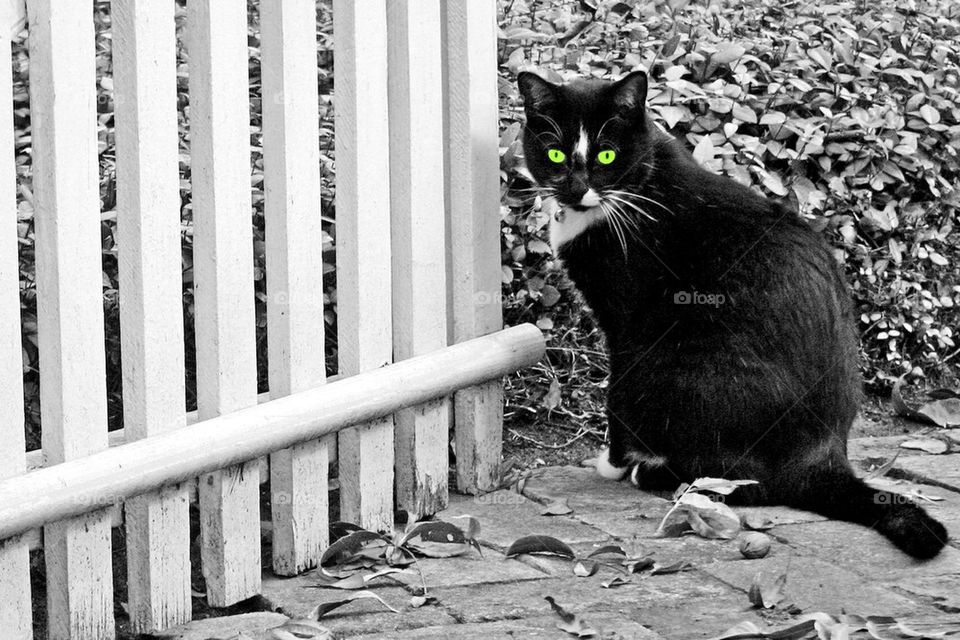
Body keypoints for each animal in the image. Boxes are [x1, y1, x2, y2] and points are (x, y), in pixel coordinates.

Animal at [516, 71, 944, 560]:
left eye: (606, 154)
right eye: (555, 153)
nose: (576, 187)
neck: (636, 188)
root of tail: (825, 455)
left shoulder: (625, 323)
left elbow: (615, 395)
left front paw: (612, 462)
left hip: (677, 363)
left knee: (757, 483)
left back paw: (658, 473)